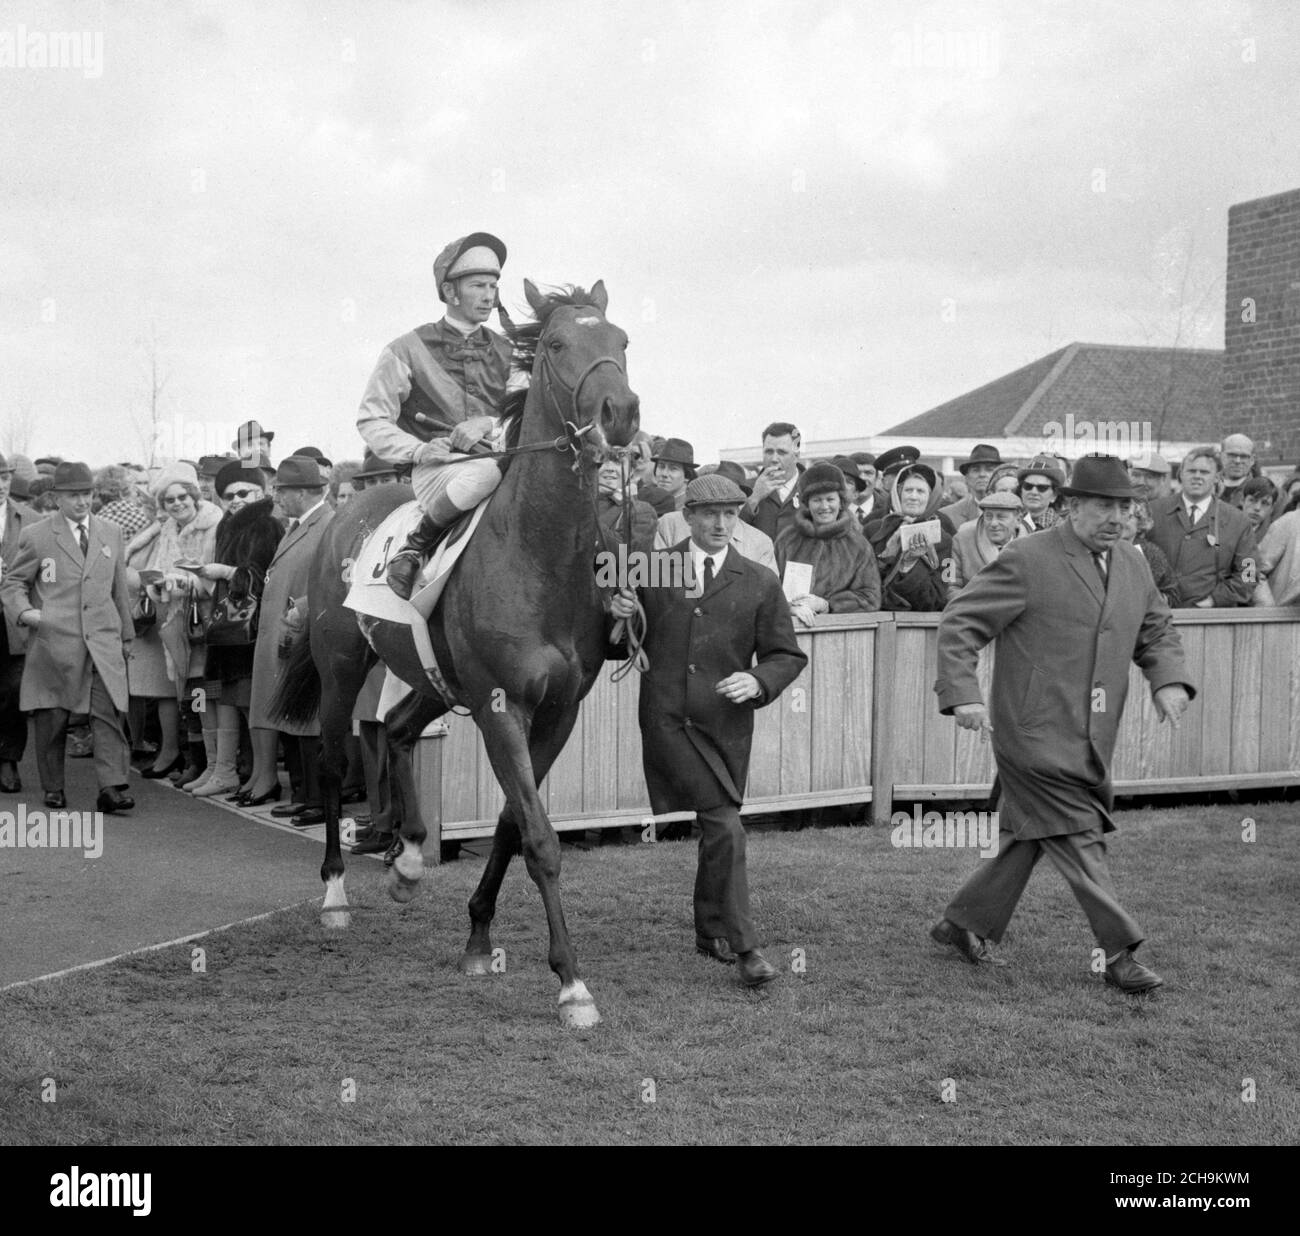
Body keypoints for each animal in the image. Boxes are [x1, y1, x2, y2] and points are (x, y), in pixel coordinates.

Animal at [271, 280, 637, 1024]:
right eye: (559, 343)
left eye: (621, 341)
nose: (621, 412)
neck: (538, 554)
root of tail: (338, 515)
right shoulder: (501, 705)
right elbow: (539, 837)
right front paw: (571, 984)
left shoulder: (557, 712)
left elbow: (511, 823)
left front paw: (477, 938)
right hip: (342, 668)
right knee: (332, 763)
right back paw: (335, 894)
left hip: (432, 680)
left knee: (398, 729)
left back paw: (410, 860)